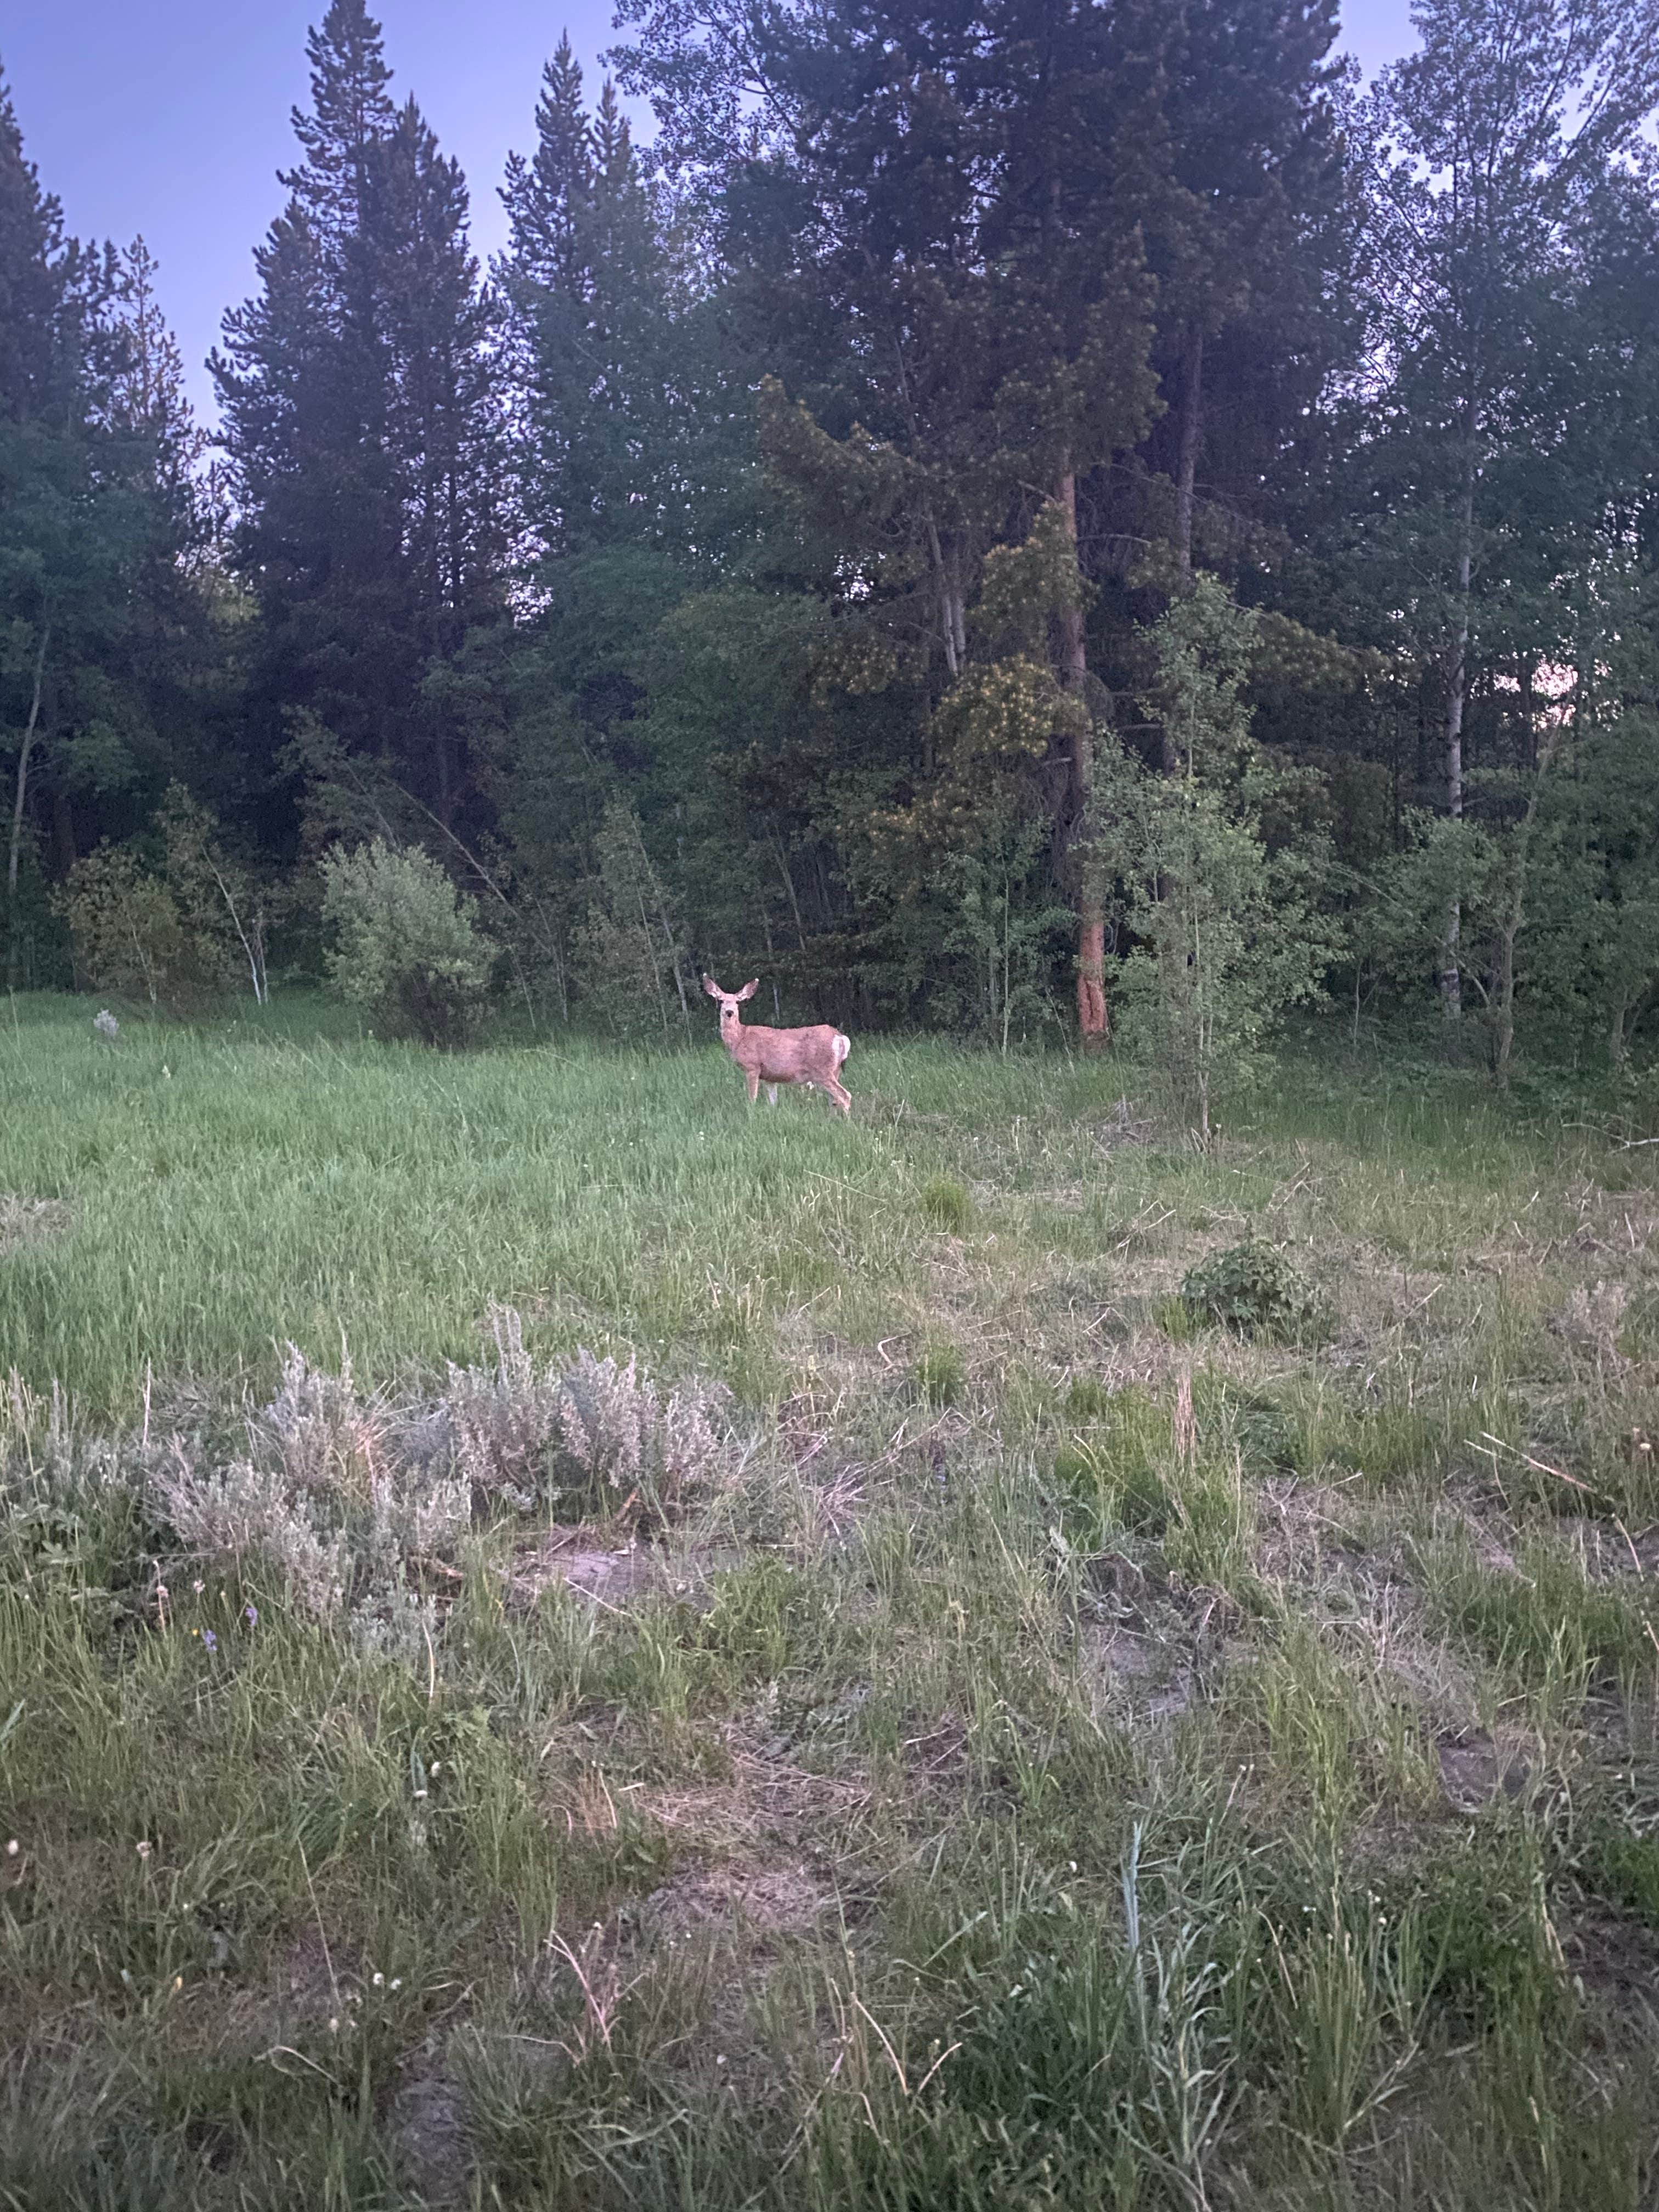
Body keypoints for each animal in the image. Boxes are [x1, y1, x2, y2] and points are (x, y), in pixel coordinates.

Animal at [703, 978, 858, 1115]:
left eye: (738, 1002)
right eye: (721, 1000)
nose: (729, 1012)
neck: (740, 1038)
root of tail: (840, 1037)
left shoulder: (752, 1067)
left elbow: (752, 1098)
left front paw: (751, 1115)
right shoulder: (770, 1076)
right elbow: (773, 1102)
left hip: (822, 1070)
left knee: (844, 1095)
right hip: (835, 1070)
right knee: (834, 1098)